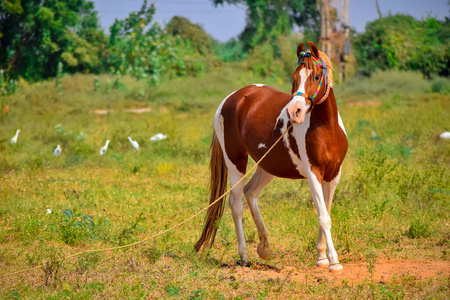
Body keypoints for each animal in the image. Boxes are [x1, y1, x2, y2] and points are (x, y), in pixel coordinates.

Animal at [194, 41, 348, 274]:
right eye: (294, 77)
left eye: (315, 76)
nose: (295, 112)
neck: (326, 128)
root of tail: (231, 98)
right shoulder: (313, 172)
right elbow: (323, 216)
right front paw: (334, 261)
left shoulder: (333, 175)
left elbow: (326, 213)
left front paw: (322, 257)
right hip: (235, 162)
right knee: (236, 203)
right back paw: (244, 256)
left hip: (267, 166)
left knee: (251, 193)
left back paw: (264, 247)